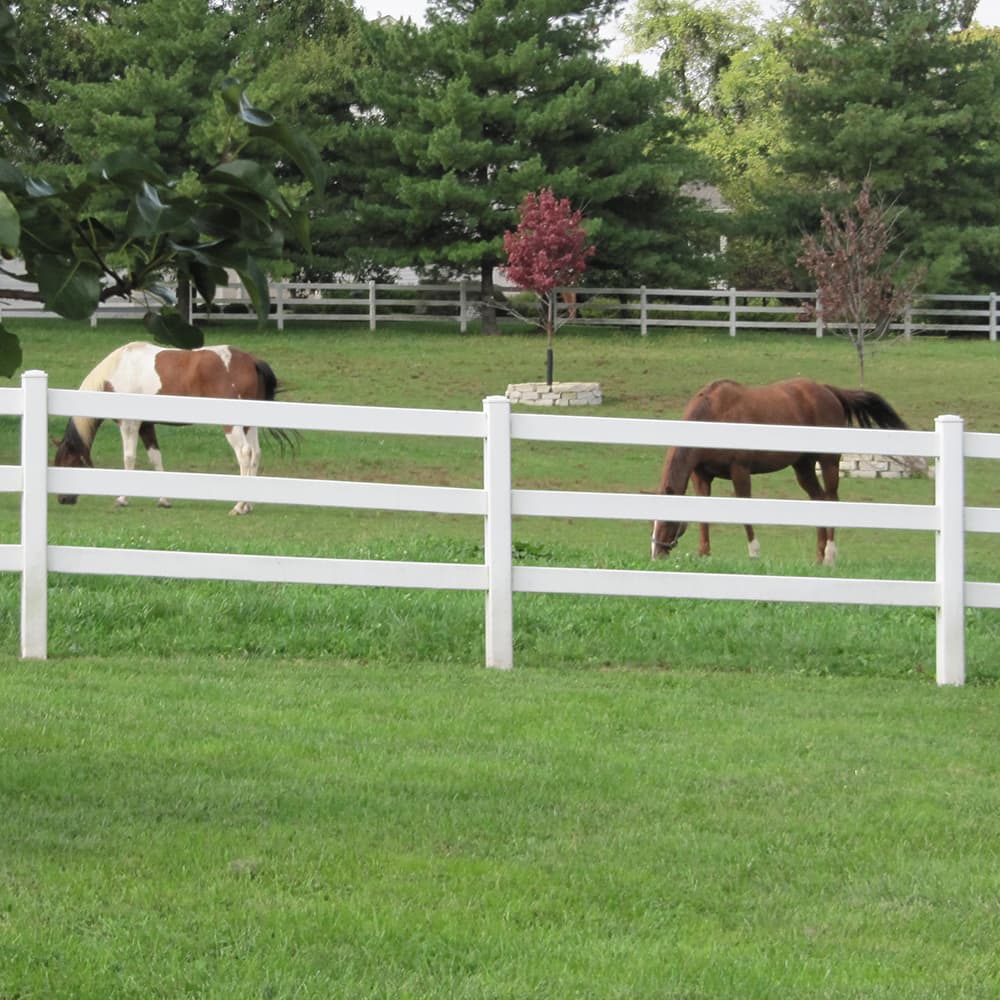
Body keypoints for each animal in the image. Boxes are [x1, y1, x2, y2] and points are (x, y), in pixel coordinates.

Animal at [53, 341, 293, 515]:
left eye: (66, 463)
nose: (62, 500)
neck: (117, 370)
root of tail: (251, 361)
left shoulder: (129, 424)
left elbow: (129, 458)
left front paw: (122, 499)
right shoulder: (146, 426)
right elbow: (155, 458)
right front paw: (164, 500)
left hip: (232, 425)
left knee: (244, 454)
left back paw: (239, 506)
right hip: (249, 425)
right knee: (256, 454)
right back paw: (249, 504)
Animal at [650, 378, 908, 566]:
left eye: (667, 520)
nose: (656, 555)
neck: (714, 415)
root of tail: (828, 390)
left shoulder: (740, 471)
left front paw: (754, 553)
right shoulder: (701, 475)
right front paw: (704, 554)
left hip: (828, 462)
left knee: (831, 499)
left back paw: (829, 556)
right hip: (803, 467)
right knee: (819, 499)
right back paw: (818, 557)